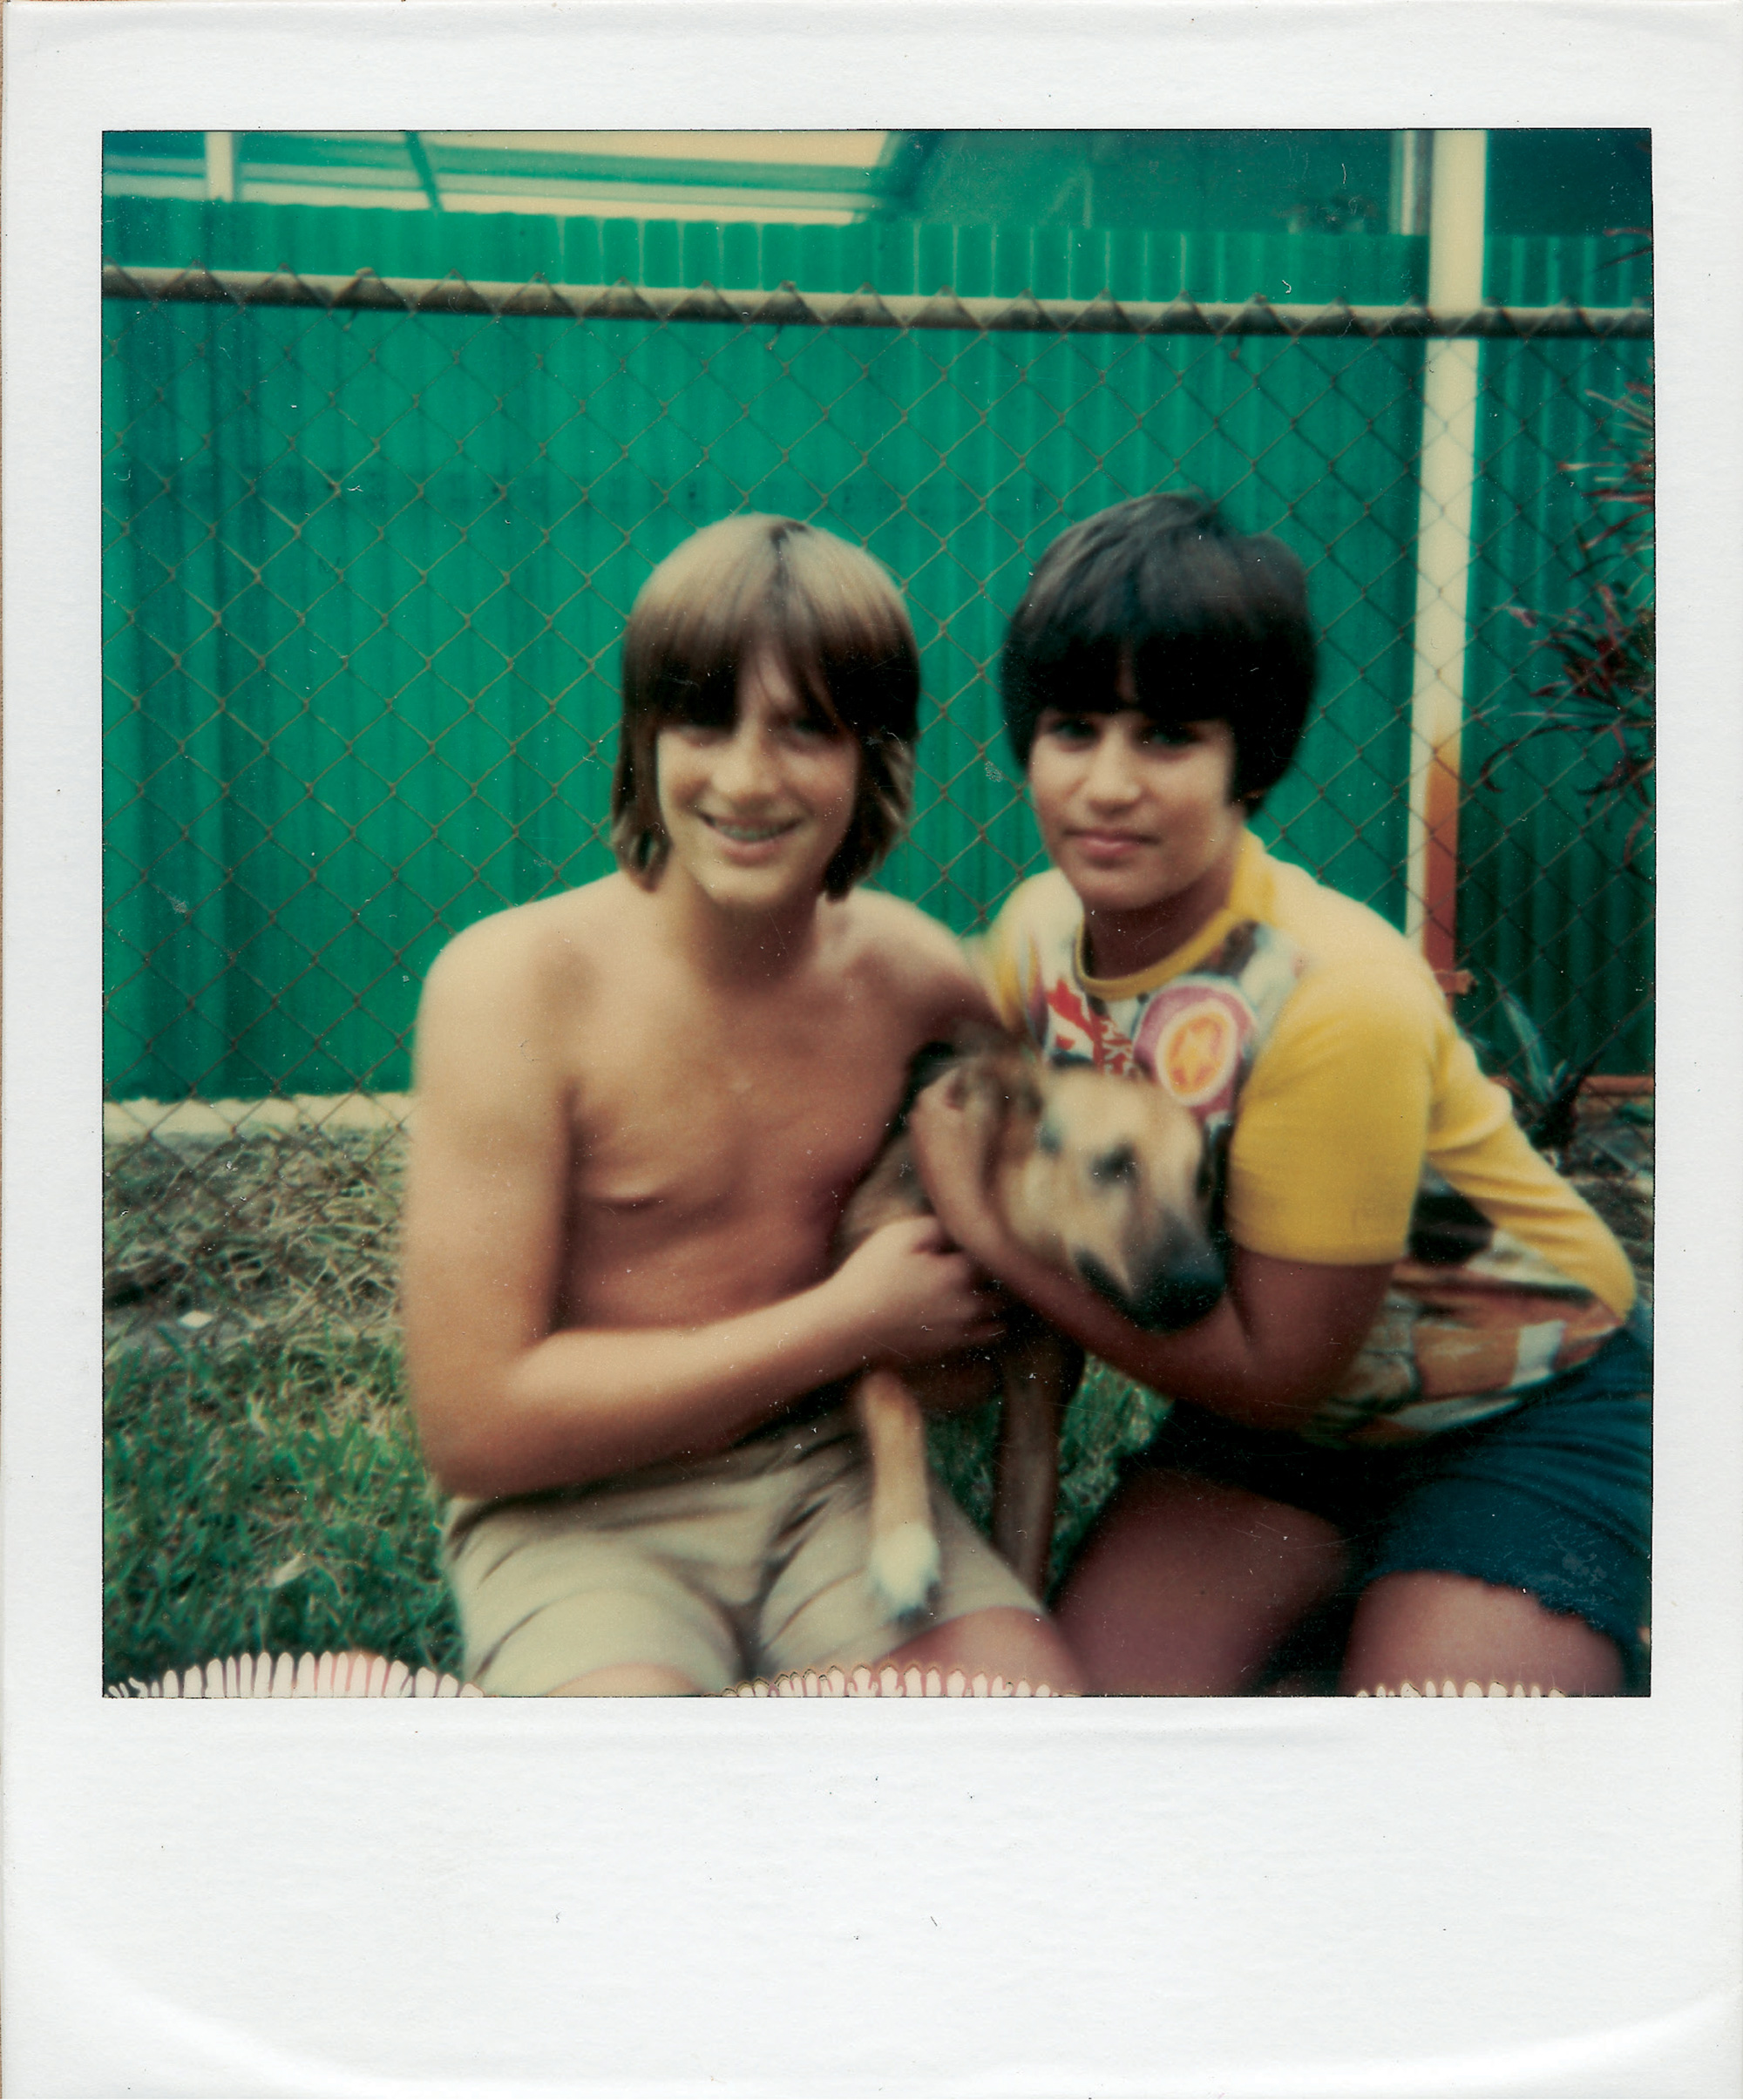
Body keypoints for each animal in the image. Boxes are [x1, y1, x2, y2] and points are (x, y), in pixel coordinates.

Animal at [844, 1041, 1226, 1612]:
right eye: (1114, 1165)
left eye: (1203, 1181)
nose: (1207, 1287)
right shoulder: (849, 1337)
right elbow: (892, 1400)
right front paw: (903, 1544)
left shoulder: (1034, 1427)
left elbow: (1024, 1553)